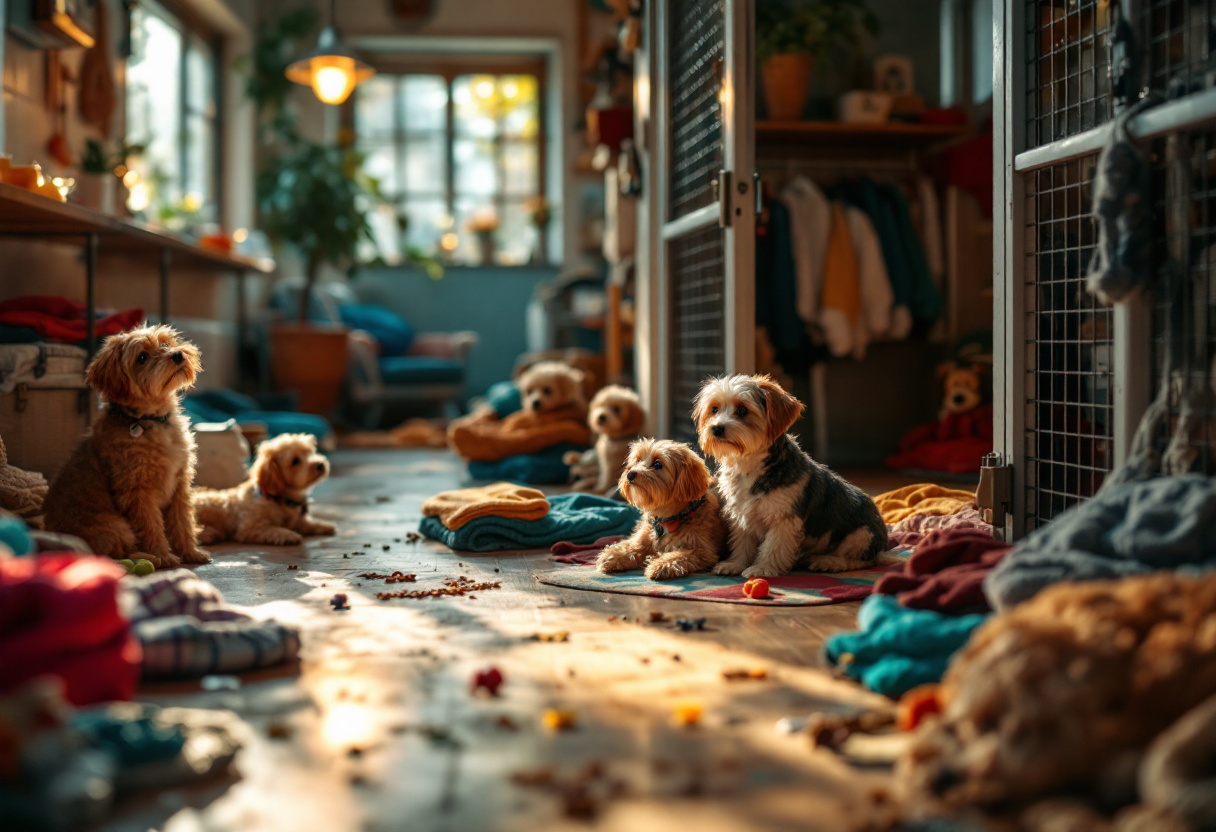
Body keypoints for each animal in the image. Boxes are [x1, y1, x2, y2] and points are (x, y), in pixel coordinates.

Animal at [194, 433, 338, 549]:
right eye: (295, 461)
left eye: (310, 452)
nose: (320, 465)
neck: (279, 498)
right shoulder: (250, 528)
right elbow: (273, 529)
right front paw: (288, 534)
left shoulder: (299, 520)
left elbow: (307, 523)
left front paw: (323, 525)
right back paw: (209, 535)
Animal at [595, 437, 724, 581]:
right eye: (638, 460)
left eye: (658, 464)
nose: (630, 474)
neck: (667, 517)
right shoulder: (642, 539)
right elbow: (633, 546)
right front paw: (613, 555)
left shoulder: (703, 551)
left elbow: (680, 555)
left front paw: (660, 565)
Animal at [695, 374, 885, 574]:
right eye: (714, 409)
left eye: (742, 410)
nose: (716, 428)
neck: (748, 466)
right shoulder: (741, 515)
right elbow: (742, 543)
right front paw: (735, 564)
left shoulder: (784, 519)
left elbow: (773, 546)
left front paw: (762, 568)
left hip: (861, 536)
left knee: (864, 560)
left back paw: (828, 561)